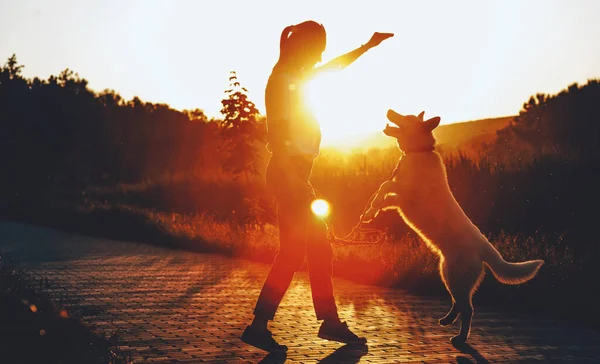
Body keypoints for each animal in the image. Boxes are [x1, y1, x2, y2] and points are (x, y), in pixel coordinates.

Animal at [360, 109, 544, 344]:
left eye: (408, 118)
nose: (390, 110)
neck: (418, 152)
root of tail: (486, 248)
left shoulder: (406, 195)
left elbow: (386, 185)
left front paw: (372, 206)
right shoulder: (399, 200)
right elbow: (384, 195)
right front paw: (369, 212)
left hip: (456, 277)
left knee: (468, 309)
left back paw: (460, 337)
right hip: (448, 274)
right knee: (459, 302)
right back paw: (448, 320)